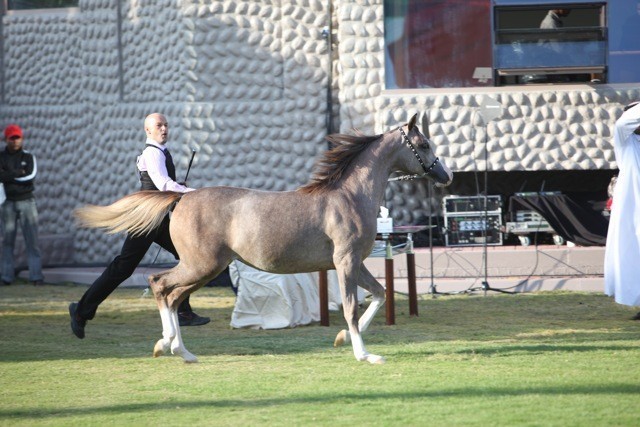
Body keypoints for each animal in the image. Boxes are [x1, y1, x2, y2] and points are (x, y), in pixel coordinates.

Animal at [74, 113, 453, 364]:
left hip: (206, 268)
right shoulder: (345, 262)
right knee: (160, 285)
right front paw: (365, 355)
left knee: (172, 294)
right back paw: (170, 345)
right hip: (202, 265)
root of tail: (180, 198)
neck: (348, 196)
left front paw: (342, 338)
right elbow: (350, 305)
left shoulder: (355, 263)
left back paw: (179, 350)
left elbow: (378, 294)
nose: (446, 175)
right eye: (423, 143)